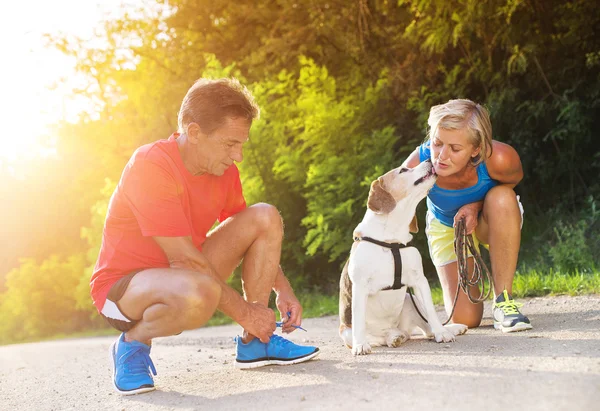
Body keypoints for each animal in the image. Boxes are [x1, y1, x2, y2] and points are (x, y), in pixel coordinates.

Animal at [340, 159, 466, 356]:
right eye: (403, 170)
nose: (429, 159)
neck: (392, 239)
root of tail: (400, 329)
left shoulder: (419, 280)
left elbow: (431, 312)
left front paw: (442, 333)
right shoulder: (359, 286)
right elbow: (359, 320)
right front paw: (360, 345)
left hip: (410, 300)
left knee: (427, 329)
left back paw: (449, 329)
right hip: (346, 333)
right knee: (380, 338)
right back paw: (392, 338)